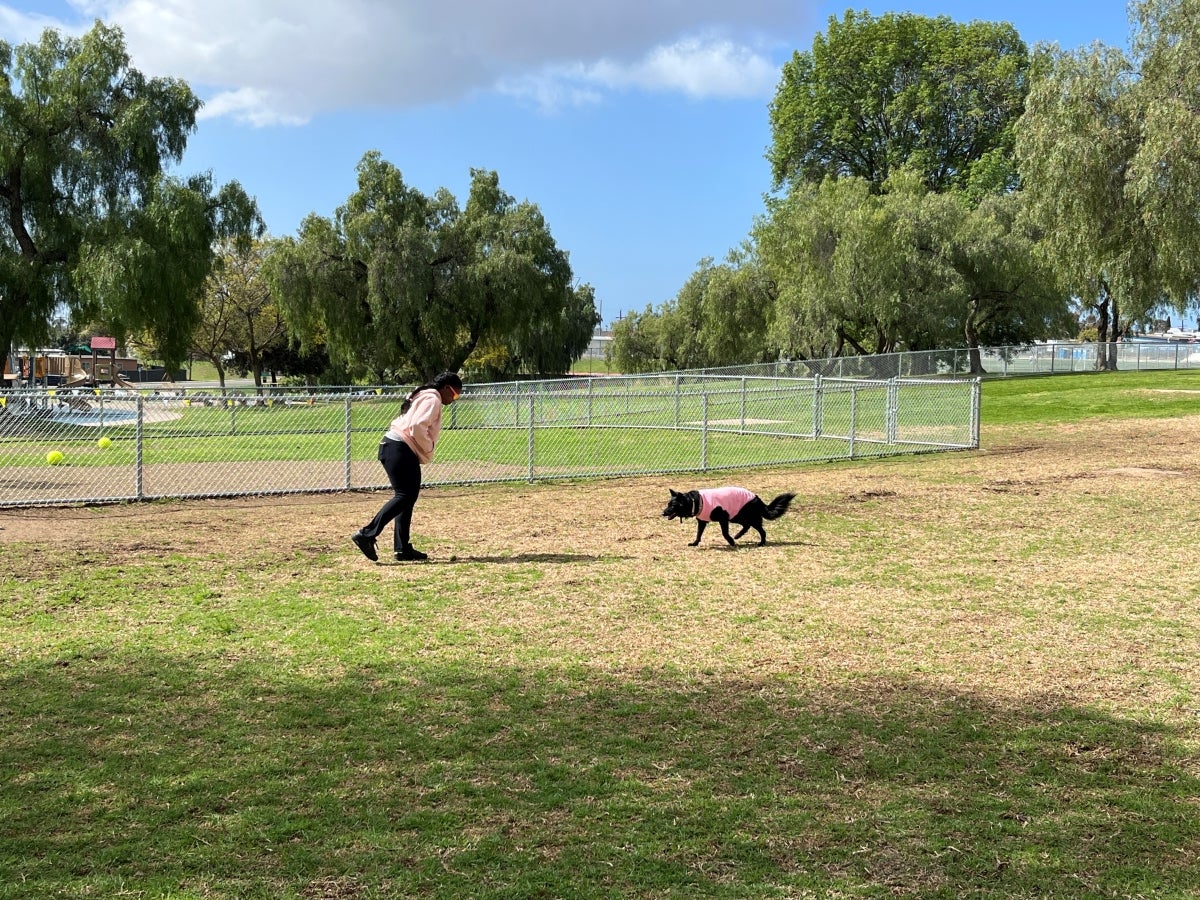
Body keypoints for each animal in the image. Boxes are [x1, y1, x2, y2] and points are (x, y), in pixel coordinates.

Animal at [657, 489, 796, 547]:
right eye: (668, 504)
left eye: (672, 506)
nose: (663, 513)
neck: (694, 501)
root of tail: (757, 498)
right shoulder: (702, 521)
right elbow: (698, 534)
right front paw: (695, 543)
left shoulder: (723, 519)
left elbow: (724, 533)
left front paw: (731, 542)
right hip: (736, 516)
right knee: (746, 526)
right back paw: (738, 536)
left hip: (747, 517)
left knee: (762, 531)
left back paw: (761, 543)